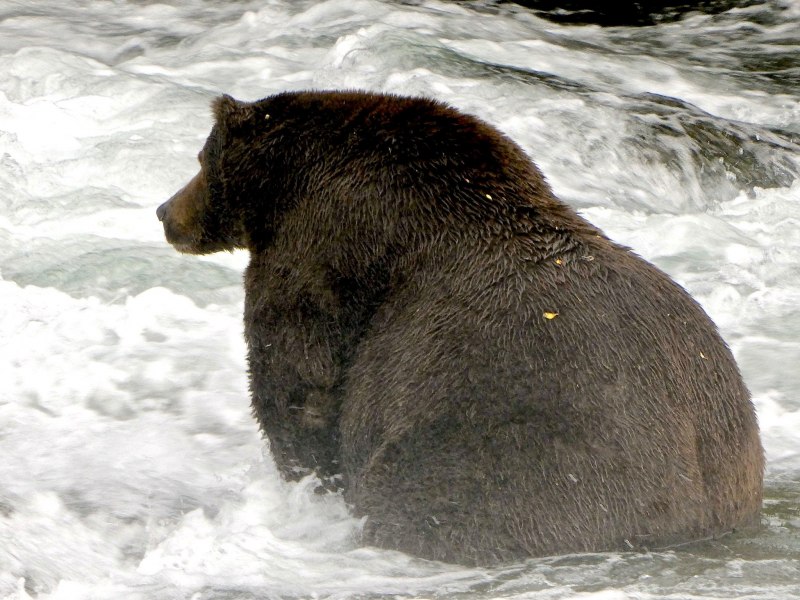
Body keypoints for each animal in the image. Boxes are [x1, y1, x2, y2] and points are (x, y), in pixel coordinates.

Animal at [156, 90, 764, 566]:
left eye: (200, 157)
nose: (164, 211)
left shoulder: (318, 253)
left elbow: (298, 379)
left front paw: (308, 482)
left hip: (510, 453)